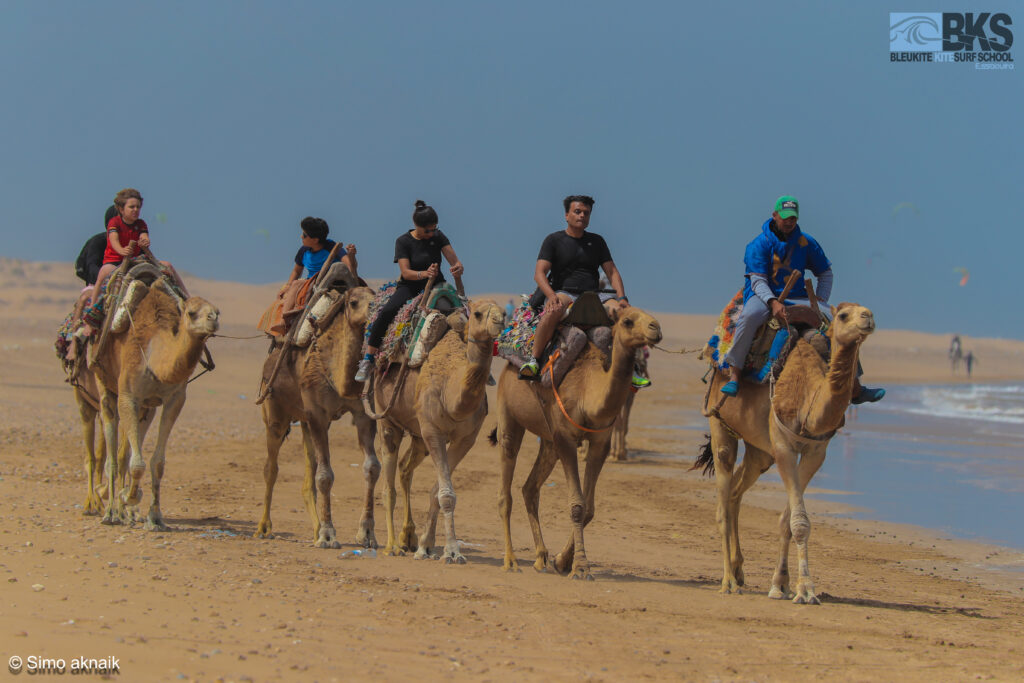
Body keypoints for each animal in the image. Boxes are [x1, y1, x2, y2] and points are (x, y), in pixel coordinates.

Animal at [91, 286, 220, 528]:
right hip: (103, 382)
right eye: (191, 313)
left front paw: (155, 517)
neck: (153, 356)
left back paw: (126, 512)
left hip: (146, 408)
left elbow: (157, 463)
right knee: (111, 449)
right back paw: (111, 512)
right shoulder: (128, 395)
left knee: (127, 451)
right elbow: (137, 464)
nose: (213, 319)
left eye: (218, 311)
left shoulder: (175, 399)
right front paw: (129, 496)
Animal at [253, 286, 382, 548]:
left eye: (376, 296)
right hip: (274, 413)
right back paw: (264, 527)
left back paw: (314, 529)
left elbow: (372, 467)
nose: (375, 311)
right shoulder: (317, 415)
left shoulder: (363, 414)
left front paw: (366, 534)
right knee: (271, 467)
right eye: (354, 302)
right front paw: (328, 535)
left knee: (307, 476)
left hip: (303, 421)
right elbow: (325, 475)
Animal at [374, 301, 505, 565]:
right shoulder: (433, 431)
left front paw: (427, 545)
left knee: (405, 468)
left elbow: (438, 491)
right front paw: (453, 551)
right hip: (387, 418)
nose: (499, 321)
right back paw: (391, 546)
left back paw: (408, 537)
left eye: (505, 312)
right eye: (477, 314)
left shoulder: (466, 439)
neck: (452, 392)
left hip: (418, 435)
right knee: (388, 484)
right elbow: (446, 494)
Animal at [493, 307, 663, 581]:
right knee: (505, 489)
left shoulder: (599, 442)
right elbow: (576, 504)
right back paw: (511, 561)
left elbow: (589, 507)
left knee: (529, 488)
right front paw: (581, 568)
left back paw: (540, 557)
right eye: (628, 321)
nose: (655, 328)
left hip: (548, 442)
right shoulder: (565, 438)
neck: (588, 391)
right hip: (509, 413)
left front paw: (562, 561)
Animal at [700, 303, 876, 602]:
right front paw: (806, 590)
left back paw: (738, 569)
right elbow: (800, 521)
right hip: (719, 420)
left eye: (868, 311)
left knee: (736, 490)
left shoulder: (815, 451)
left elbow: (788, 520)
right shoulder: (784, 447)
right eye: (844, 315)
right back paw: (728, 582)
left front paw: (782, 583)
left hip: (761, 450)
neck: (809, 401)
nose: (868, 318)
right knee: (723, 497)